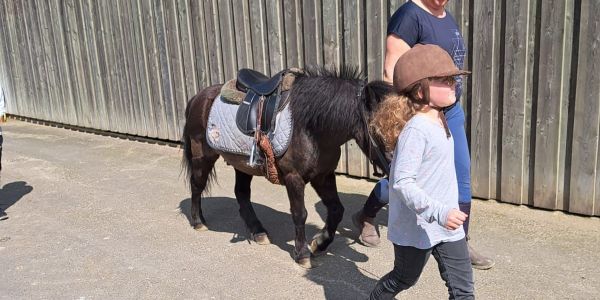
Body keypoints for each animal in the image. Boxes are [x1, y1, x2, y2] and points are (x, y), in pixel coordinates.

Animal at [180, 67, 392, 268]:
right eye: (380, 128)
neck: (311, 127)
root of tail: (198, 97)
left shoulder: (323, 176)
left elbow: (337, 210)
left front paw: (319, 244)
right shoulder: (294, 178)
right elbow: (300, 214)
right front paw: (302, 254)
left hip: (243, 164)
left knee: (241, 193)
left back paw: (258, 232)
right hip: (203, 156)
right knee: (197, 185)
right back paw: (198, 222)